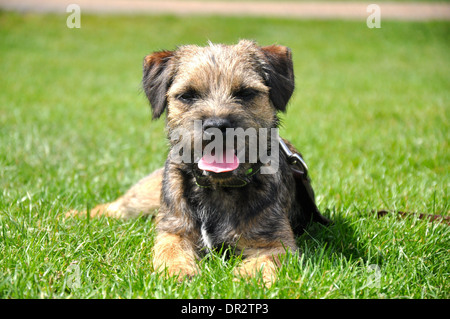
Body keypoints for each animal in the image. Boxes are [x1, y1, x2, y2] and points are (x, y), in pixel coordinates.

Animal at [67, 39, 328, 284]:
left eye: (246, 93)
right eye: (187, 95)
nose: (217, 125)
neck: (219, 189)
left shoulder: (276, 243)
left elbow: (264, 261)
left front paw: (245, 279)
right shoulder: (173, 231)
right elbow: (169, 250)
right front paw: (178, 272)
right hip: (143, 200)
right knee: (113, 207)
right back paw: (70, 216)